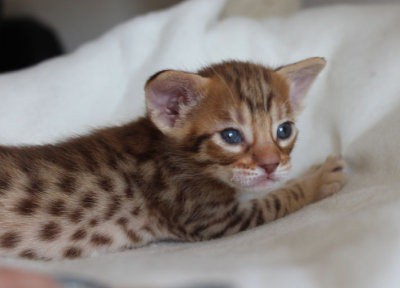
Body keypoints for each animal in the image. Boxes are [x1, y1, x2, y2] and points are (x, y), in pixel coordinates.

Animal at [0, 57, 346, 260]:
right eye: (231, 137)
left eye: (284, 130)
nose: (271, 164)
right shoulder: (212, 219)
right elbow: (277, 199)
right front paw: (319, 180)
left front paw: (311, 170)